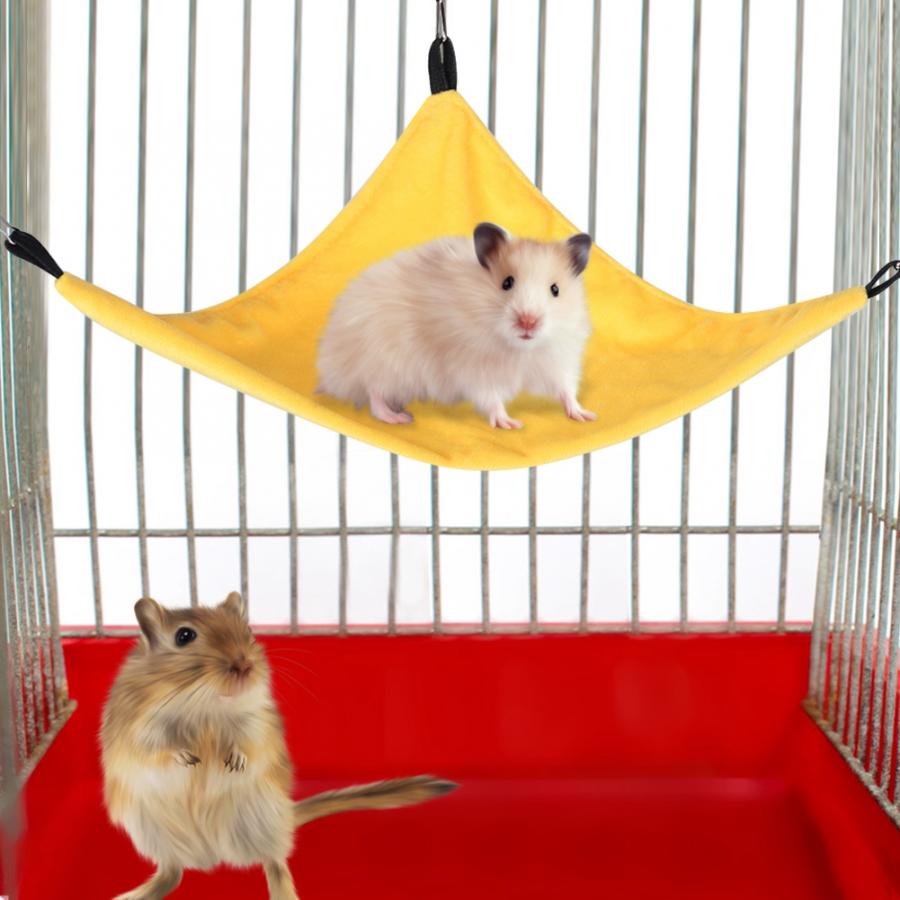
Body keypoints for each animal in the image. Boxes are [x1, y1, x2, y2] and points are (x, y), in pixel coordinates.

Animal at [101, 592, 456, 900]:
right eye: (184, 636)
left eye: (247, 631)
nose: (244, 665)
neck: (205, 705)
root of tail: (213, 854)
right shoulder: (138, 730)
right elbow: (155, 750)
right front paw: (189, 758)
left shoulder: (257, 722)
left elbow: (249, 744)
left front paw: (234, 763)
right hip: (155, 835)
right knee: (172, 873)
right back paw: (132, 895)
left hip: (260, 820)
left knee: (275, 863)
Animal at [316, 222, 596, 430]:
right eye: (506, 283)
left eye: (555, 289)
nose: (528, 321)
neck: (519, 349)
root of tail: (328, 368)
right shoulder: (473, 368)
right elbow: (491, 398)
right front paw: (510, 423)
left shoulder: (557, 360)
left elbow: (566, 389)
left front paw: (585, 415)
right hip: (383, 360)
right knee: (374, 393)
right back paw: (399, 418)